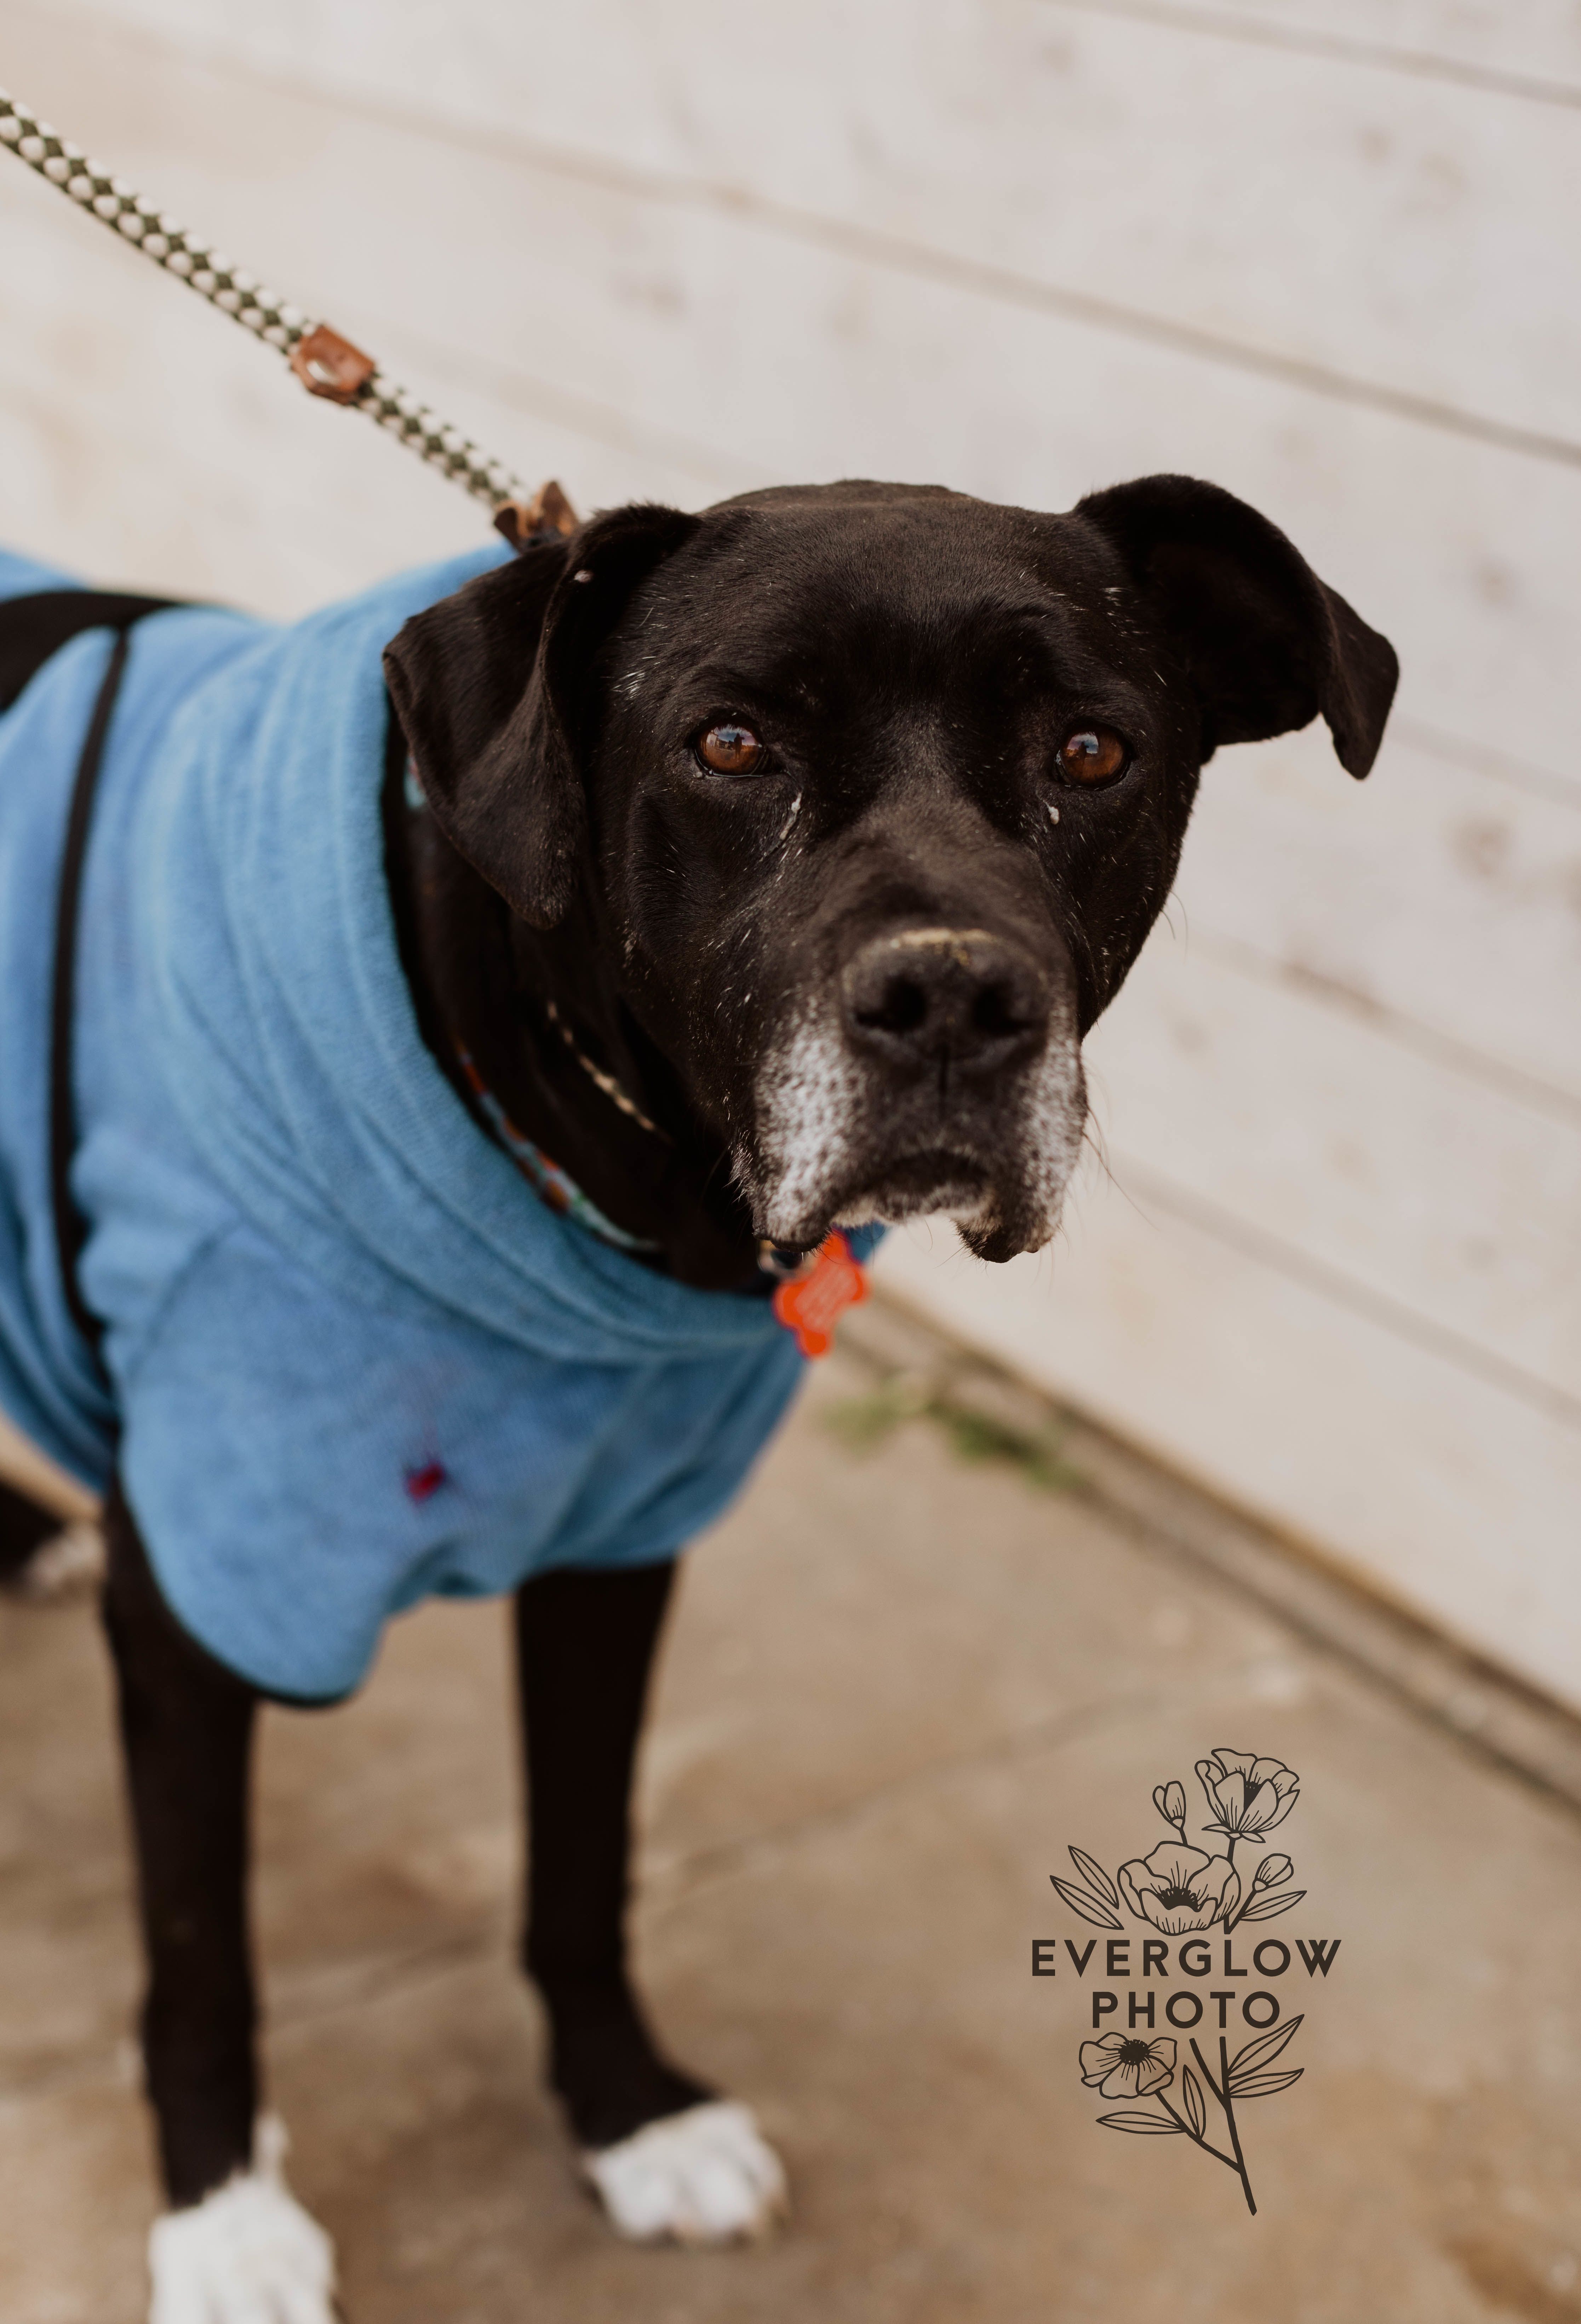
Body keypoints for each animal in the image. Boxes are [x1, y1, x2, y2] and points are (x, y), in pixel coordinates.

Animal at [0, 467, 1386, 2305]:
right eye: (729, 743)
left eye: (1093, 753)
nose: (954, 998)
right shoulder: (205, 1593)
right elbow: (200, 1950)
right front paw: (225, 2225)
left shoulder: (617, 1548)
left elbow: (584, 1863)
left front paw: (627, 2113)